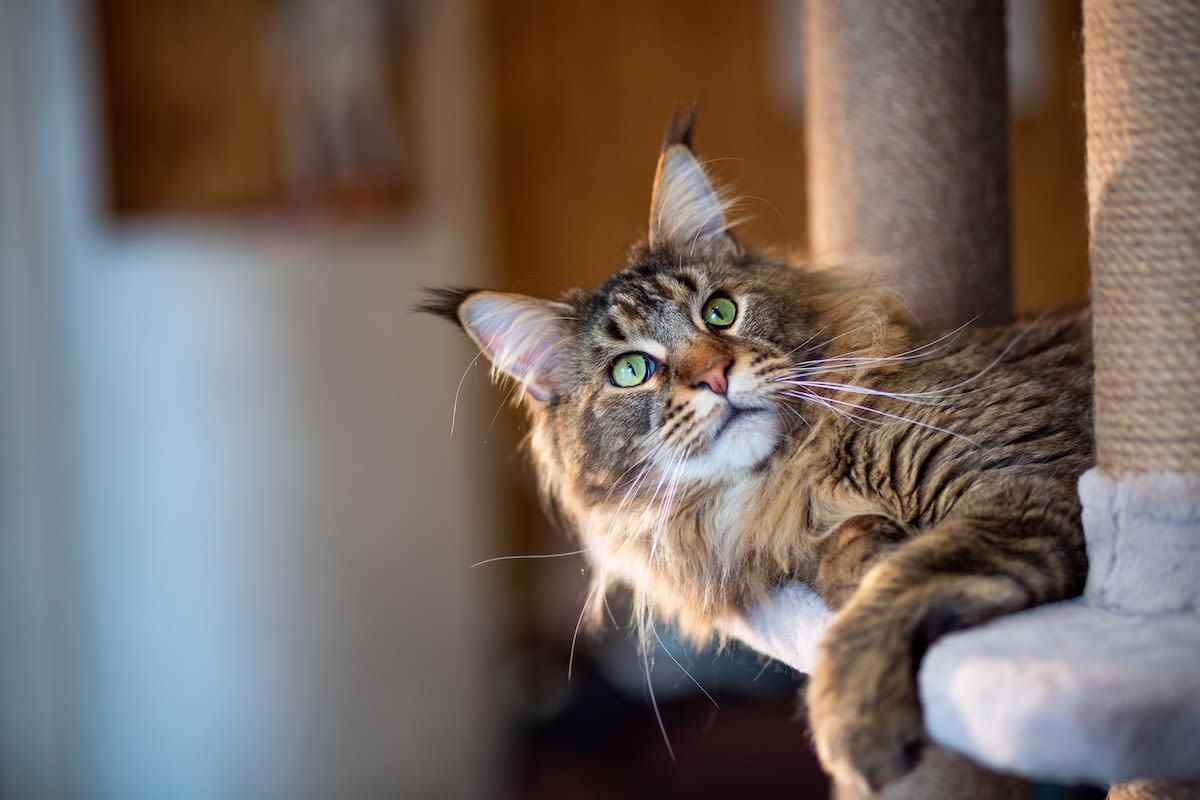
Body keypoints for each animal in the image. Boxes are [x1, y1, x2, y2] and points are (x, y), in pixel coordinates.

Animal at [417, 110, 1094, 796]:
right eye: (632, 370)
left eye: (720, 312)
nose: (714, 376)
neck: (792, 478)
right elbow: (860, 564)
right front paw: (866, 551)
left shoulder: (1018, 478)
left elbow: (900, 584)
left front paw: (850, 720)